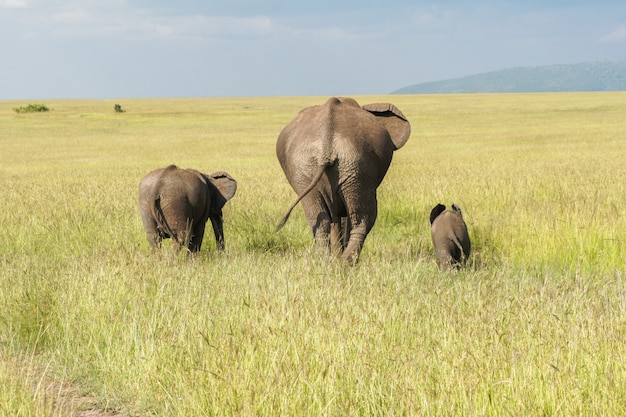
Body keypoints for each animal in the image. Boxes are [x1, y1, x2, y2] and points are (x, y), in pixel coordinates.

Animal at [272, 96, 410, 262]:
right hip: (353, 165)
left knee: (319, 218)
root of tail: (327, 142)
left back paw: (327, 261)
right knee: (363, 218)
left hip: (311, 169)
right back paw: (347, 262)